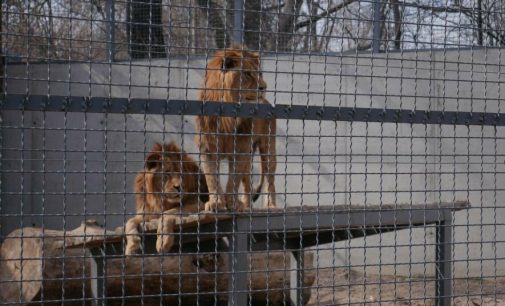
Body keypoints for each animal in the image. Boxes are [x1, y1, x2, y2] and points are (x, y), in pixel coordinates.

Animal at [195, 46, 278, 212]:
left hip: (268, 148)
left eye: (259, 73)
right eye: (247, 73)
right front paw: (216, 203)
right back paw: (246, 206)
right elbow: (212, 178)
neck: (227, 118)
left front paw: (231, 203)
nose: (264, 87)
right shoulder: (207, 148)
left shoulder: (240, 149)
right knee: (247, 181)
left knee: (269, 178)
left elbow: (234, 179)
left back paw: (271, 206)